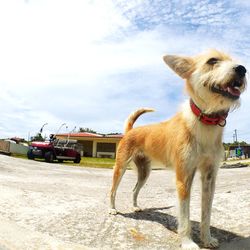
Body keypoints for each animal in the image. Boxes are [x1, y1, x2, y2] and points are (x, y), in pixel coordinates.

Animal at [109, 49, 246, 250]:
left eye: (234, 60)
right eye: (212, 60)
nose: (242, 69)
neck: (205, 123)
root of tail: (130, 130)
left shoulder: (209, 177)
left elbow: (206, 213)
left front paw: (207, 238)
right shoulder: (184, 177)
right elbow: (185, 216)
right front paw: (188, 242)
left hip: (144, 172)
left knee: (134, 189)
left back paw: (135, 206)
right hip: (120, 168)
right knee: (113, 190)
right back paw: (112, 209)